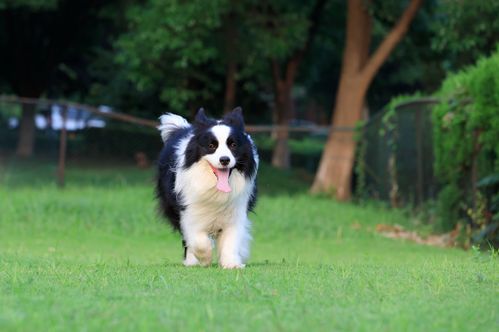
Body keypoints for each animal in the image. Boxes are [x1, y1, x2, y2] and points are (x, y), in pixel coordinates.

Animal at [156, 107, 258, 268]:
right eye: (211, 146)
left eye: (233, 145)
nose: (224, 160)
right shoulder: (189, 210)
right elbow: (198, 240)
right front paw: (204, 259)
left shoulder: (236, 210)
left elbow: (232, 238)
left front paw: (231, 263)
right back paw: (192, 261)